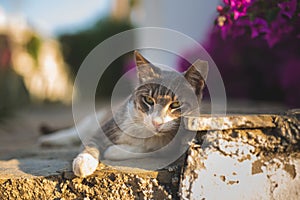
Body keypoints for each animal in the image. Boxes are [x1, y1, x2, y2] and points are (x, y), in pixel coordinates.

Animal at [38, 50, 207, 177]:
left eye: (176, 104)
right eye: (148, 100)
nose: (156, 122)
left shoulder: (172, 148)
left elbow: (149, 149)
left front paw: (113, 150)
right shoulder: (109, 125)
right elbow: (91, 142)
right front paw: (84, 162)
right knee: (77, 130)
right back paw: (51, 139)